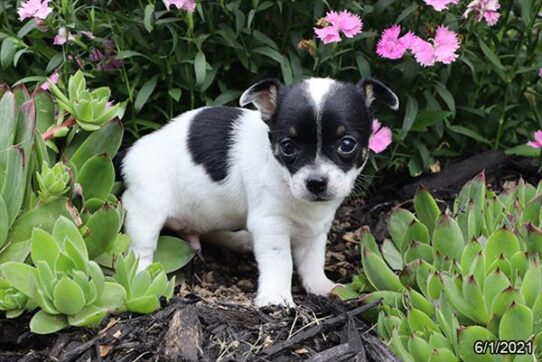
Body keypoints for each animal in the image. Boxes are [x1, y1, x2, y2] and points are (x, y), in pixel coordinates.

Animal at [123, 78, 400, 306]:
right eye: (287, 147)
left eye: (347, 144)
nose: (316, 182)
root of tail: (130, 152)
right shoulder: (270, 224)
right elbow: (281, 261)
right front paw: (276, 297)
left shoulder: (315, 228)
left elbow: (312, 259)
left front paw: (321, 286)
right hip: (146, 210)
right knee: (140, 249)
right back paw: (142, 279)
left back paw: (238, 240)